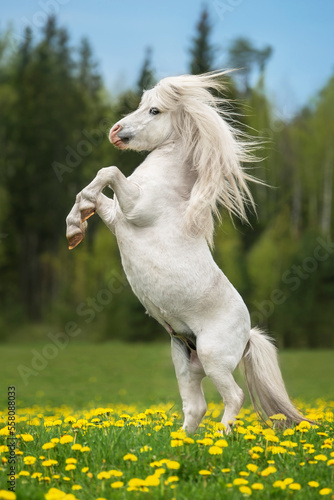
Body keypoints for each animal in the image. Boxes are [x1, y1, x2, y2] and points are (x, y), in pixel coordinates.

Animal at [66, 72, 310, 432]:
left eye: (154, 110)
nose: (115, 131)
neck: (166, 187)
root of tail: (247, 335)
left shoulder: (133, 208)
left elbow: (108, 172)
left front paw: (76, 224)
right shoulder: (117, 218)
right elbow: (94, 190)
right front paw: (75, 227)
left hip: (212, 358)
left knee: (234, 397)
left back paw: (221, 437)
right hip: (185, 360)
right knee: (196, 407)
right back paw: (182, 440)